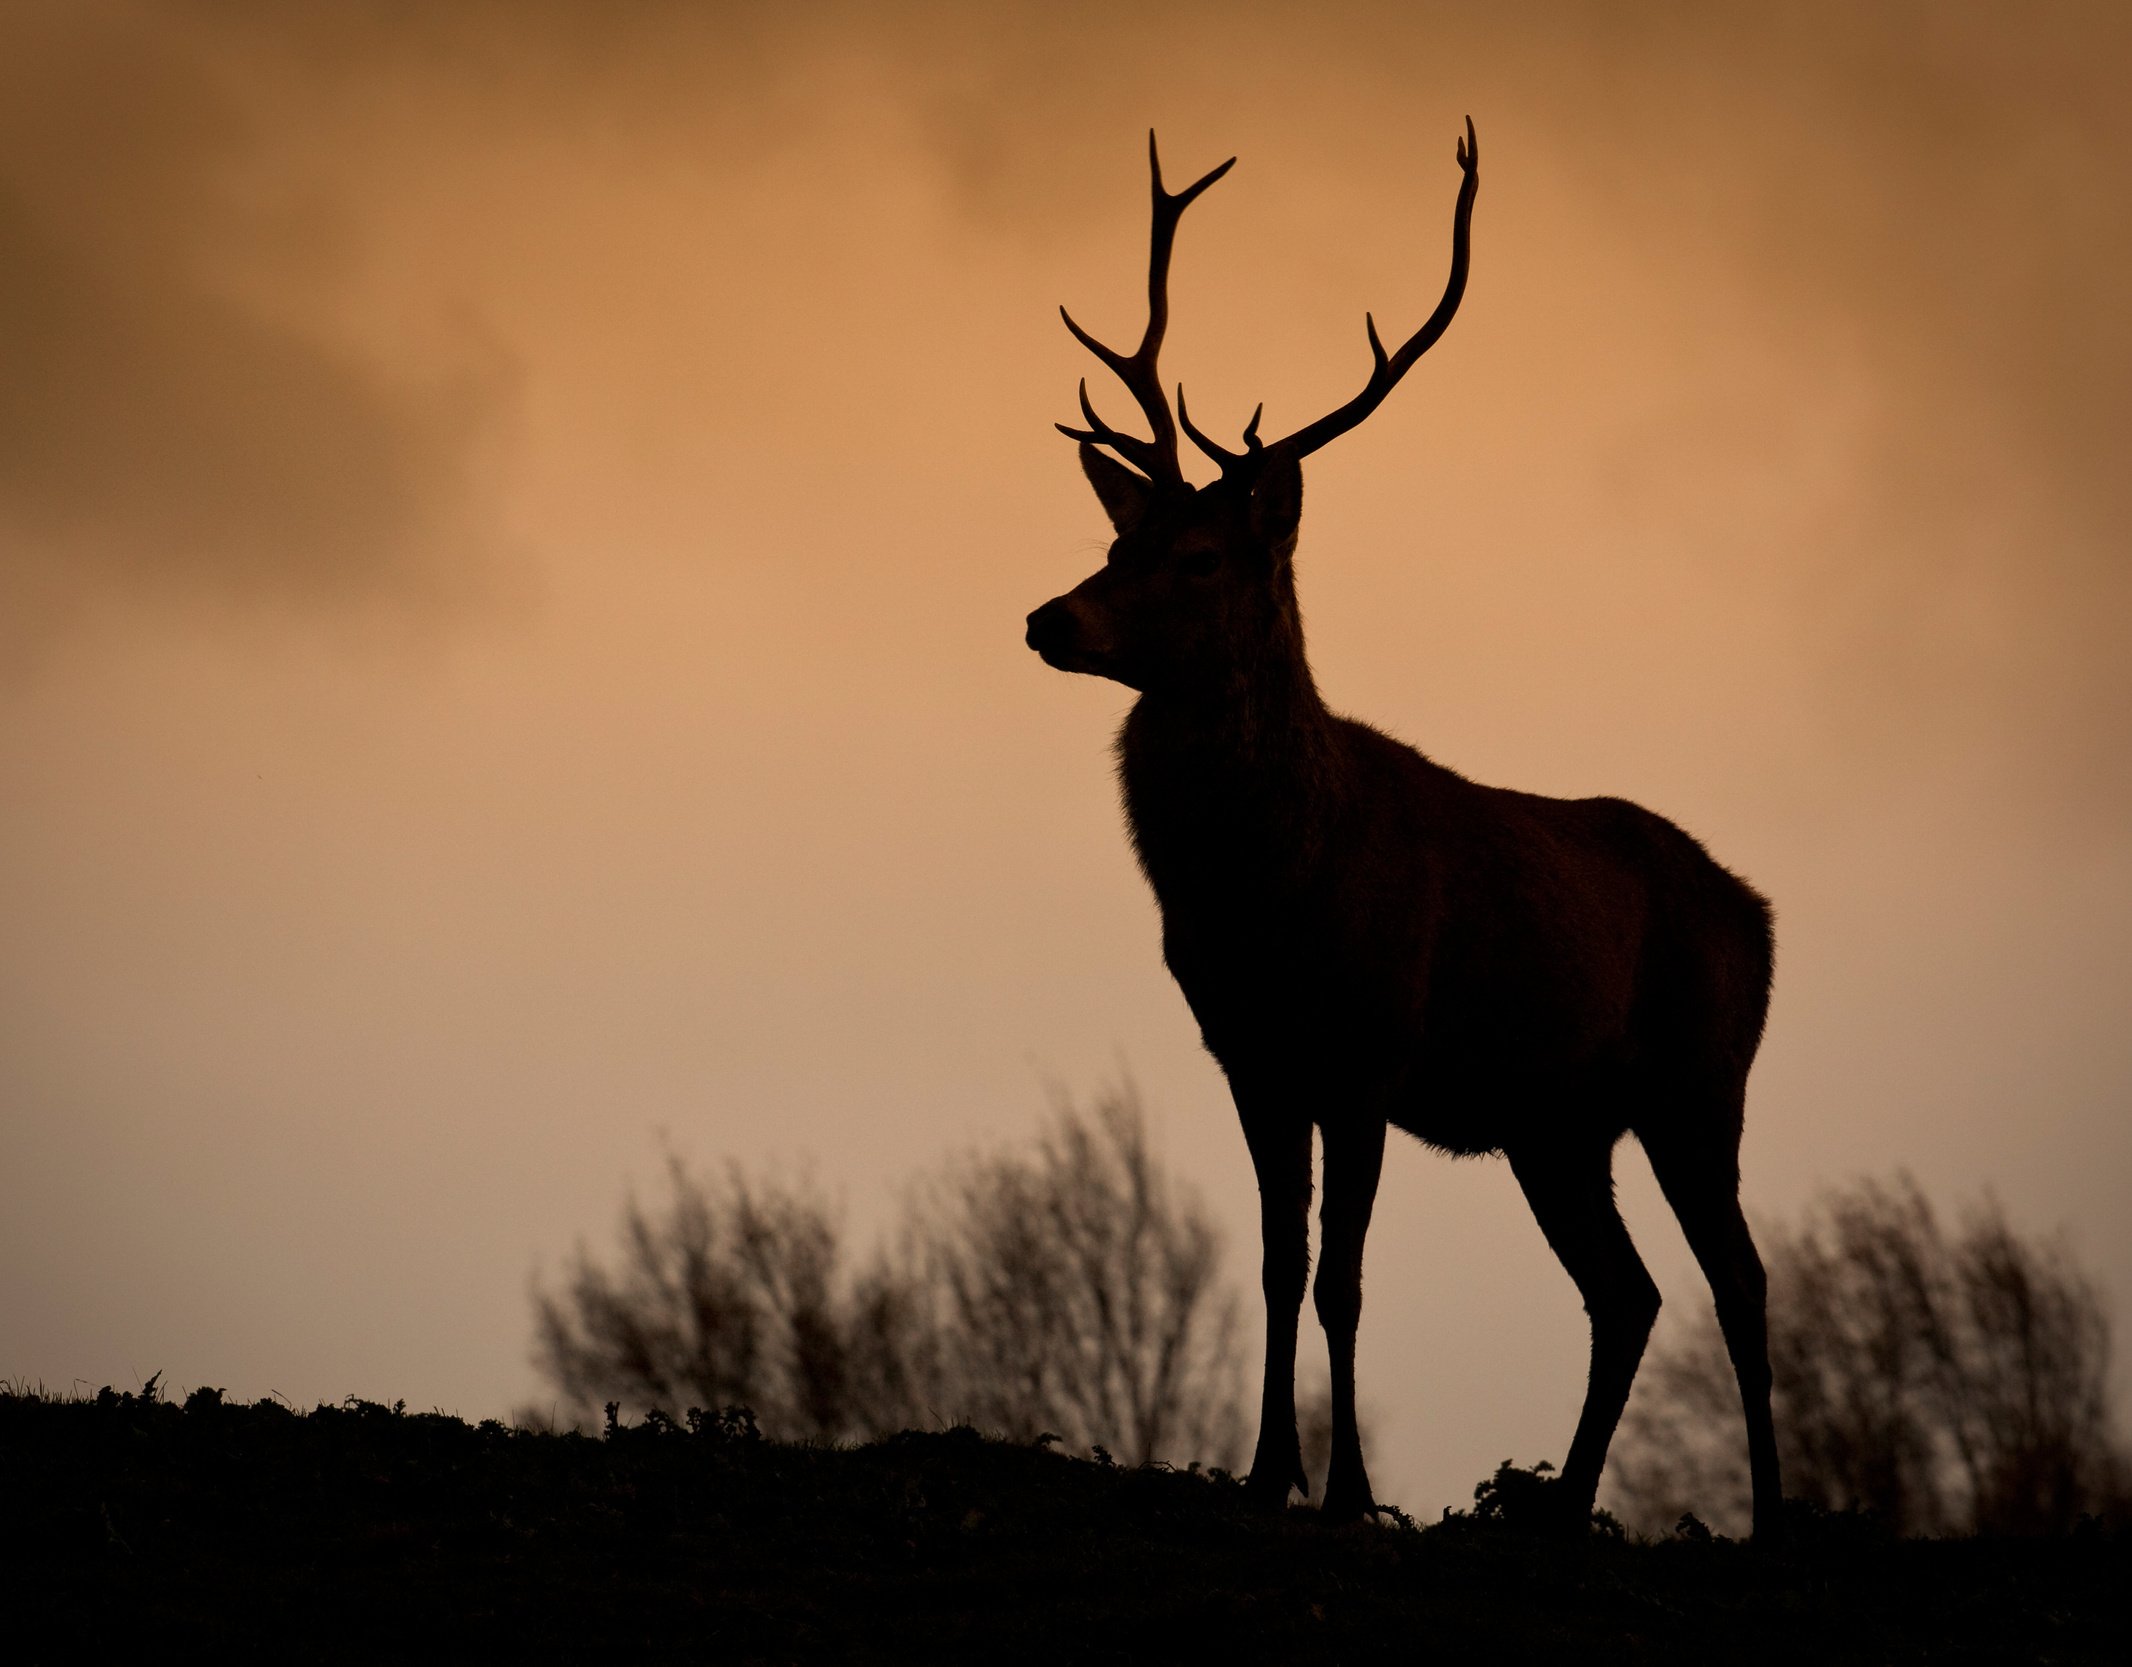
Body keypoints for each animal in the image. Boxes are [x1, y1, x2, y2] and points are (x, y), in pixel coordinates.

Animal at [1023, 124, 1790, 1543]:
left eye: (1201, 556)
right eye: (1115, 535)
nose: (1050, 617)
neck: (1267, 895)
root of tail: (1756, 910)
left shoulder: (1370, 1046)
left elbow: (1343, 1278)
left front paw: (1347, 1494)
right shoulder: (1250, 1055)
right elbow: (1277, 1266)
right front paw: (1266, 1473)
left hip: (1699, 1077)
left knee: (1738, 1279)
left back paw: (1767, 1516)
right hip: (1557, 1124)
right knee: (1627, 1292)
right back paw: (1556, 1507)